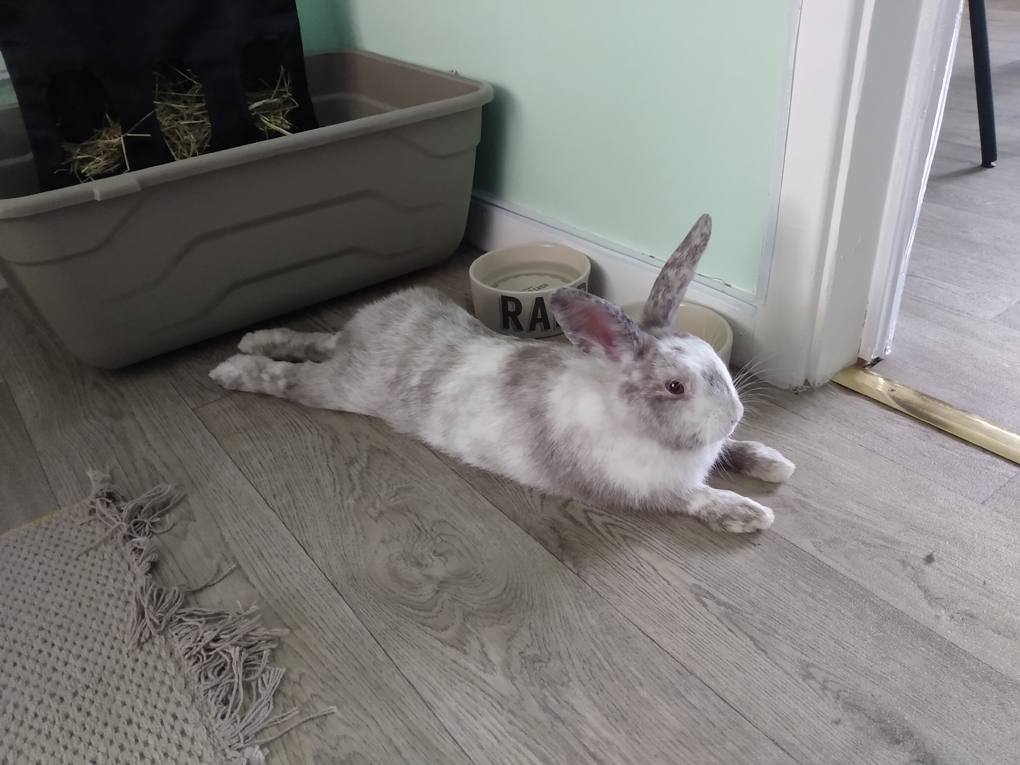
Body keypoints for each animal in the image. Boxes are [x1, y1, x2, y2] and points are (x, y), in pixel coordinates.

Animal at [211, 213, 791, 530]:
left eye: (714, 360)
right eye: (674, 386)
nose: (734, 414)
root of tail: (361, 337)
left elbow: (734, 452)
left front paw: (773, 464)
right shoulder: (646, 493)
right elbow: (696, 498)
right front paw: (752, 515)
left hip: (337, 349)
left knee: (313, 339)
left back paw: (254, 337)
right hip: (337, 388)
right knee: (292, 378)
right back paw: (233, 368)